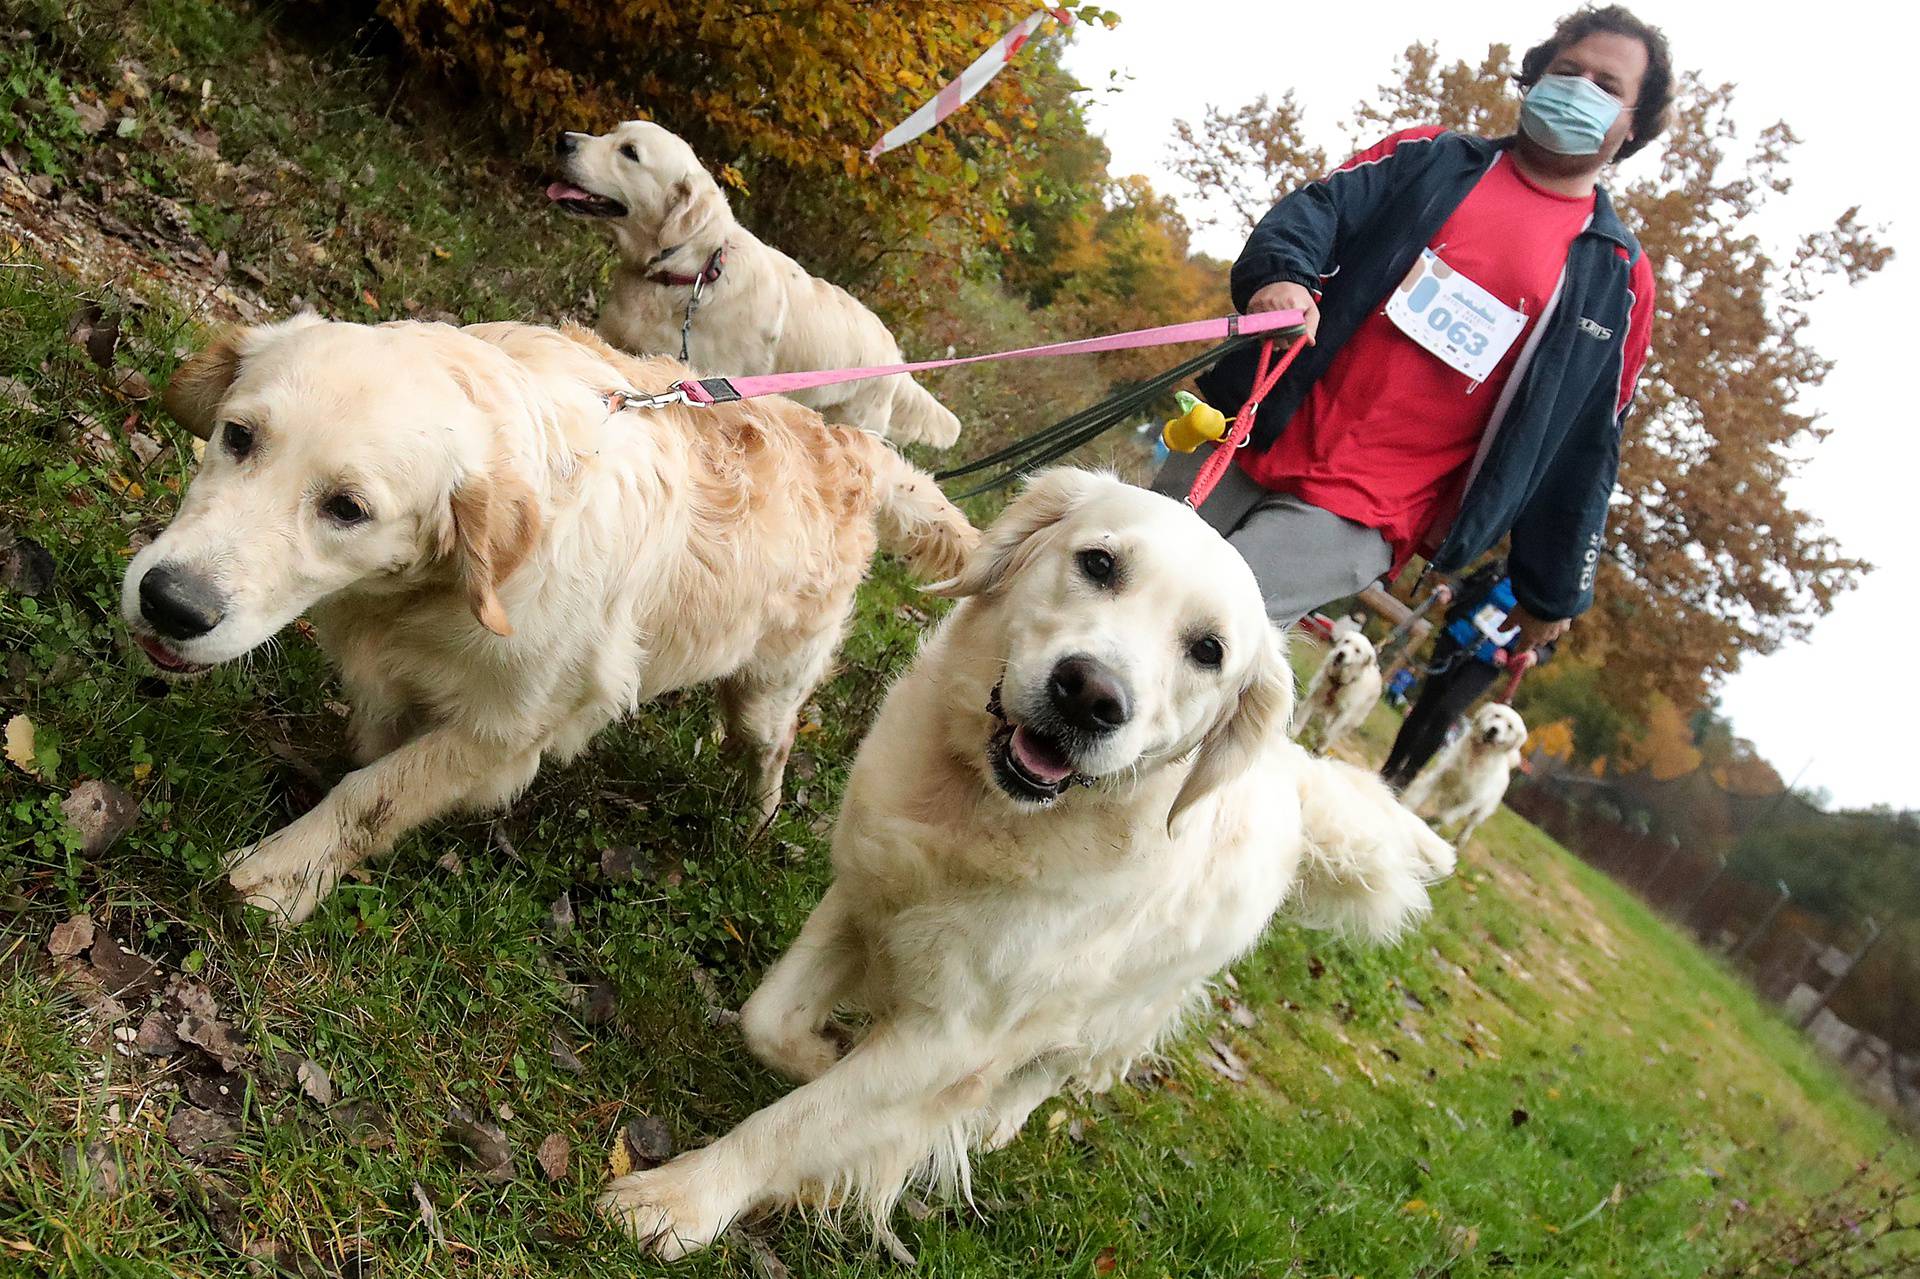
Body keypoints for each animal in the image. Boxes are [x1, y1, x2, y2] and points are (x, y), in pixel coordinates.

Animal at [120, 314, 975, 921]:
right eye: (238, 435)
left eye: (348, 508)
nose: (171, 603)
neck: (434, 593)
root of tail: (851, 447)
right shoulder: (394, 677)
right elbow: (372, 751)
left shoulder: (505, 729)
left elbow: (374, 795)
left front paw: (280, 877)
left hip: (766, 694)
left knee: (774, 749)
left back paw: (756, 823)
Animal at [1397, 699, 1528, 844]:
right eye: (1497, 715)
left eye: (1510, 726)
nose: (1494, 730)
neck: (1476, 756)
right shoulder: (1437, 777)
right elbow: (1417, 797)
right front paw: (1406, 811)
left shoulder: (1469, 801)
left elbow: (1443, 817)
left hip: (1480, 811)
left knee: (1469, 825)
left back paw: (1460, 839)